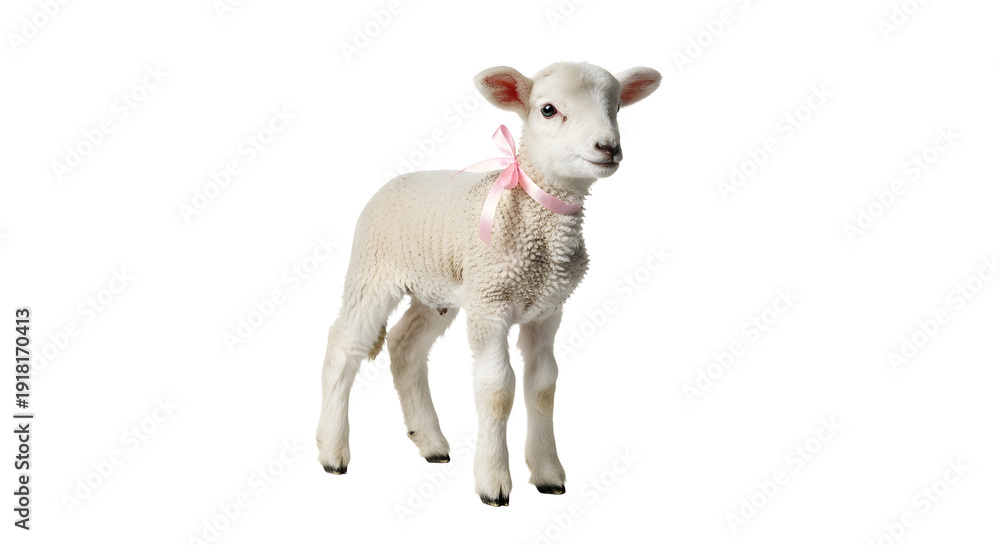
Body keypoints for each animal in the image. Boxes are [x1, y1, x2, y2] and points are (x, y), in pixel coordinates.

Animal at [316, 61, 661, 506]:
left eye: (617, 107)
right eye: (548, 110)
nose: (608, 148)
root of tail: (393, 183)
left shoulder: (547, 310)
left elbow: (543, 386)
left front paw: (548, 474)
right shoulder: (491, 304)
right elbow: (497, 390)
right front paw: (493, 483)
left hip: (438, 290)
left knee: (405, 345)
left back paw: (431, 443)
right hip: (373, 271)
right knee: (344, 345)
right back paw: (332, 451)